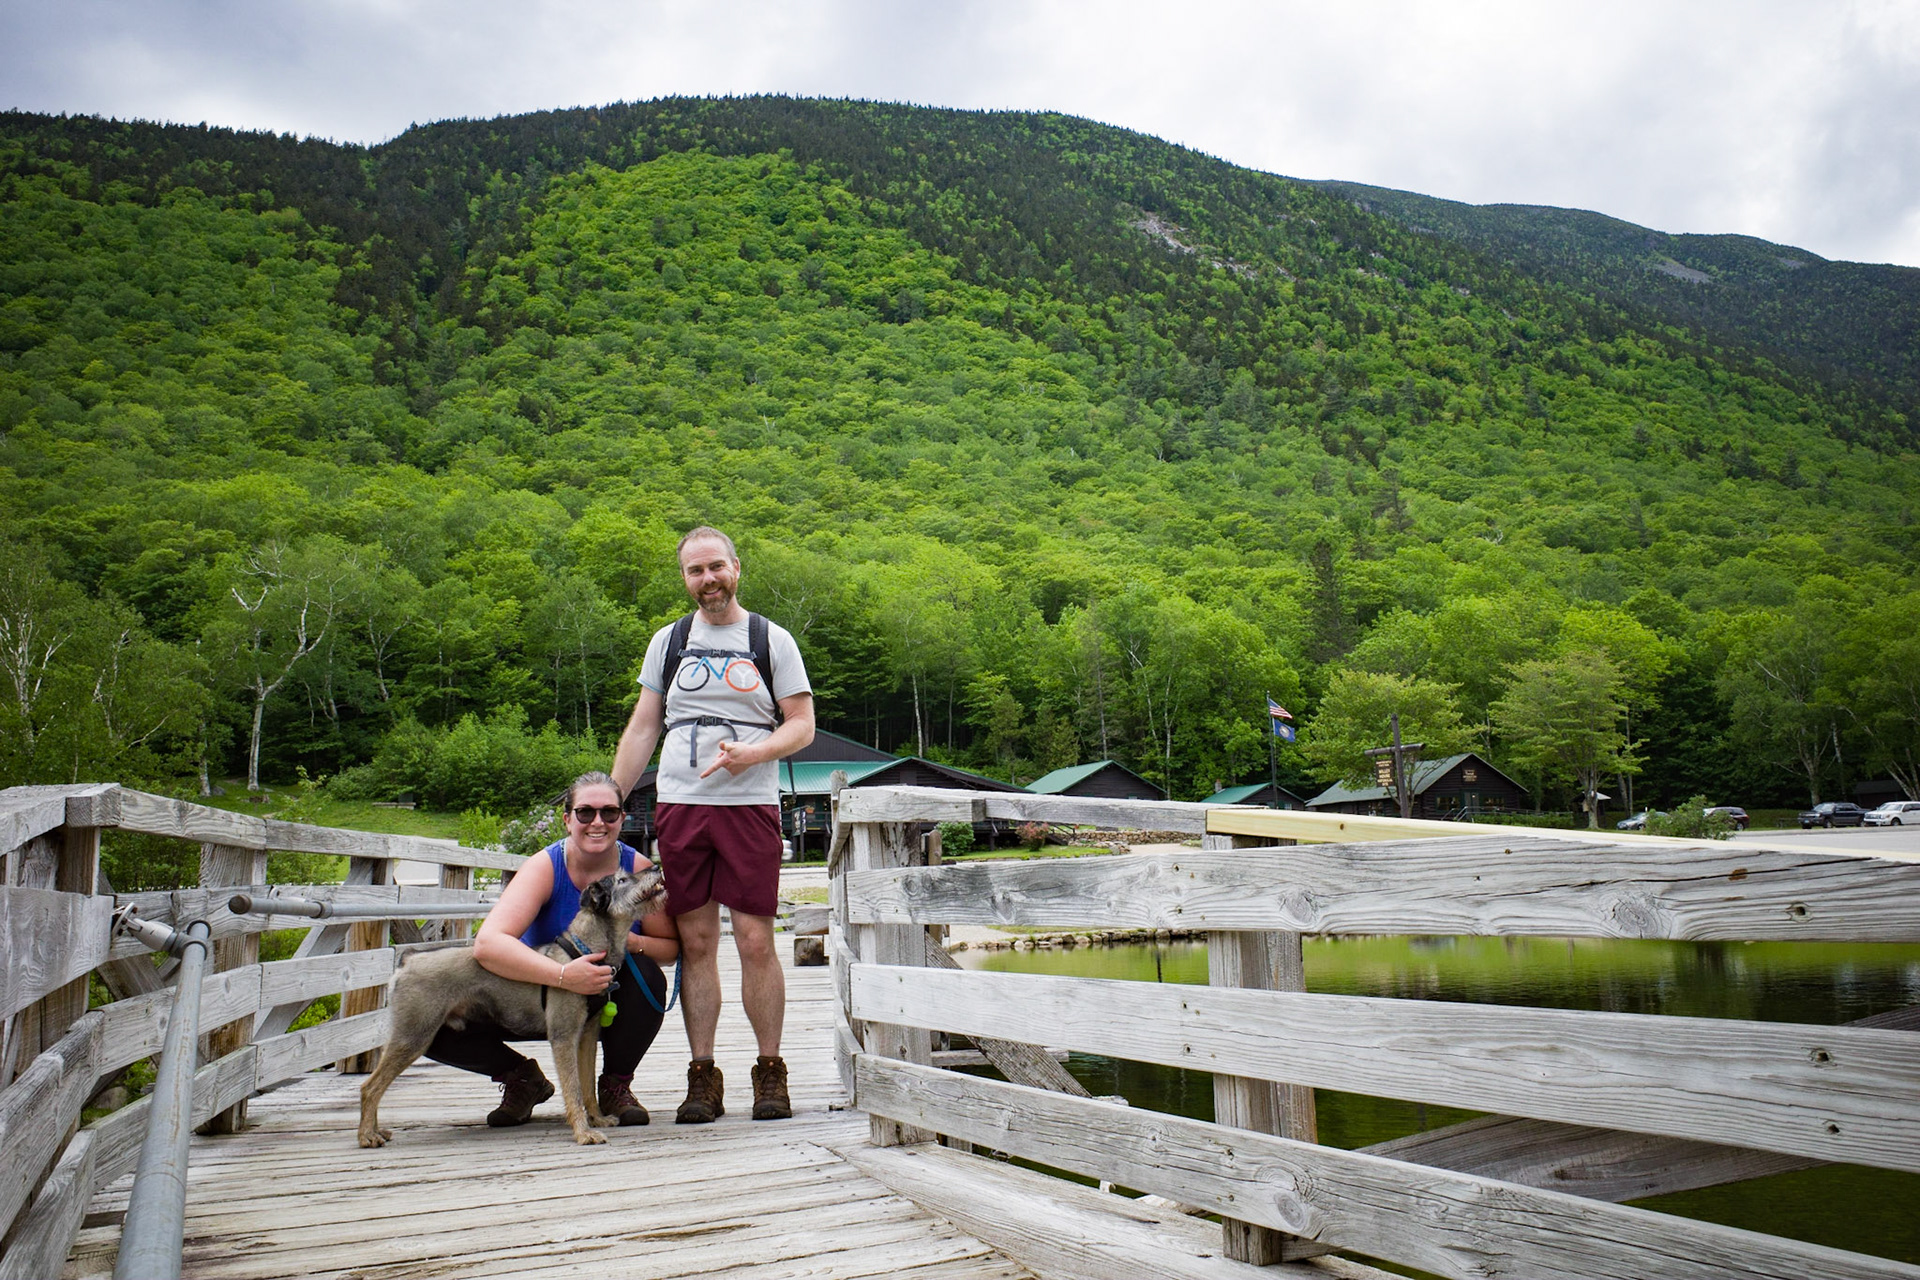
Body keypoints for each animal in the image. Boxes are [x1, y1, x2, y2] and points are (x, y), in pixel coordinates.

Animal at [357, 867, 666, 1147]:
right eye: (622, 879)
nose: (655, 867)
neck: (582, 950)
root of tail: (408, 960)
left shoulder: (587, 1036)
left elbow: (588, 1085)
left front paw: (598, 1118)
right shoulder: (564, 1037)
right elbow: (573, 1088)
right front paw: (583, 1133)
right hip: (413, 1034)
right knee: (370, 1087)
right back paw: (367, 1135)